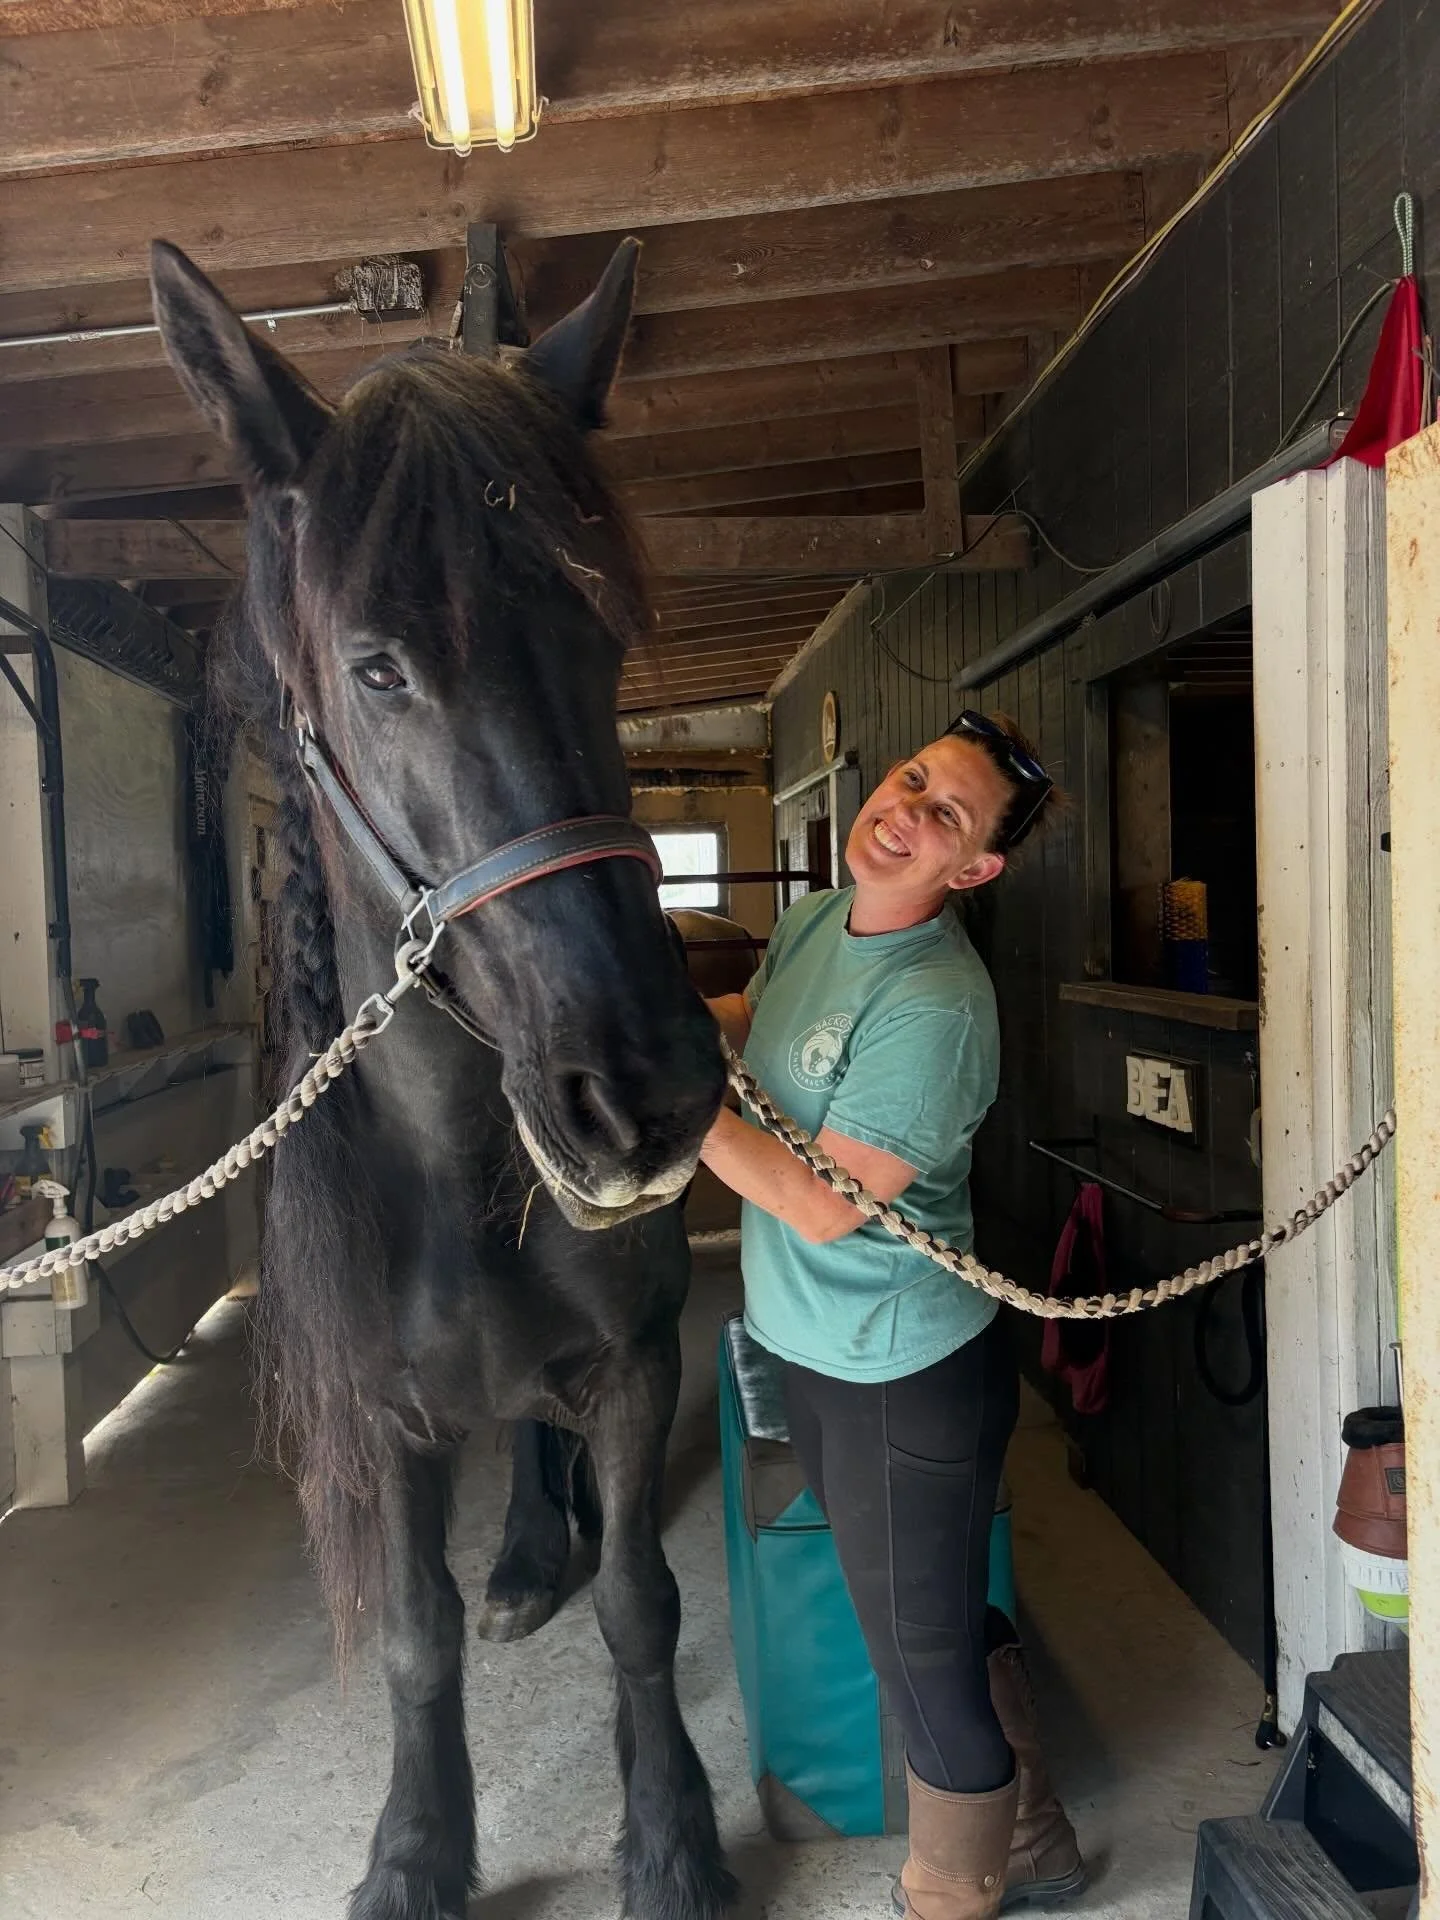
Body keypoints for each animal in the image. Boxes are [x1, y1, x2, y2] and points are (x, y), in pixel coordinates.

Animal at [150, 238, 737, 1920]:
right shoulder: (384, 1415)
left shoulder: (636, 1362)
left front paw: (670, 1837)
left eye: (604, 636)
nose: (644, 1086)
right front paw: (417, 1849)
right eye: (376, 669)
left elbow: (644, 1604)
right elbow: (415, 1641)